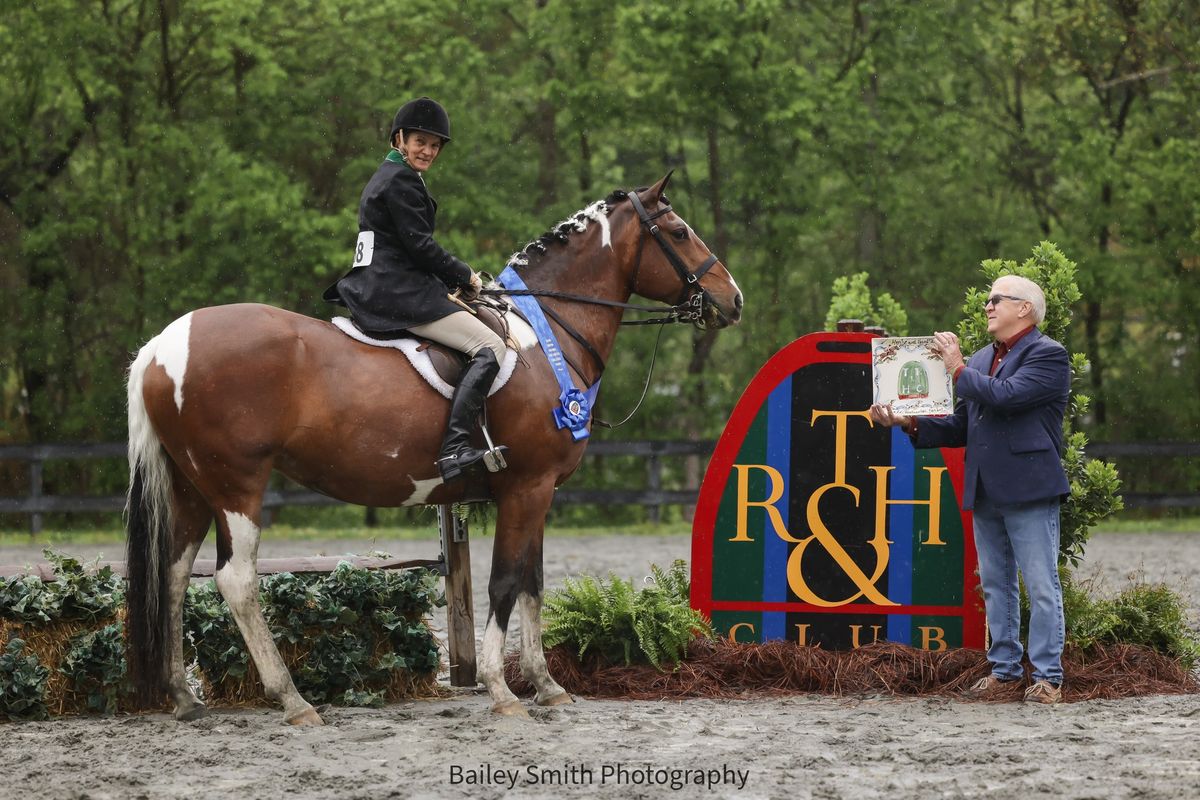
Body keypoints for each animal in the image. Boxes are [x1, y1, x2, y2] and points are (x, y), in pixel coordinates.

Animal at [121, 173, 739, 724]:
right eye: (679, 231)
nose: (732, 302)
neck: (546, 336)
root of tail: (162, 345)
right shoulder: (526, 488)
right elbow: (506, 582)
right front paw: (502, 691)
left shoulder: (538, 494)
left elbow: (534, 584)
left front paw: (548, 686)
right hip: (236, 485)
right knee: (236, 580)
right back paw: (293, 700)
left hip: (191, 485)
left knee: (173, 573)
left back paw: (184, 698)